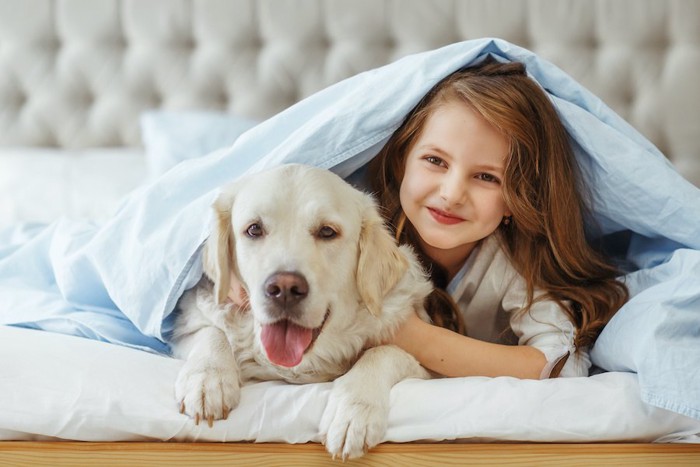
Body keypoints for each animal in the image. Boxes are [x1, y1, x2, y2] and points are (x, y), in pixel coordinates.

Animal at [170, 165, 432, 460]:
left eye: (327, 232)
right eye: (254, 229)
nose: (284, 288)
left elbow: (383, 352)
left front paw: (353, 412)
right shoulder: (185, 325)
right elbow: (212, 332)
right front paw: (208, 380)